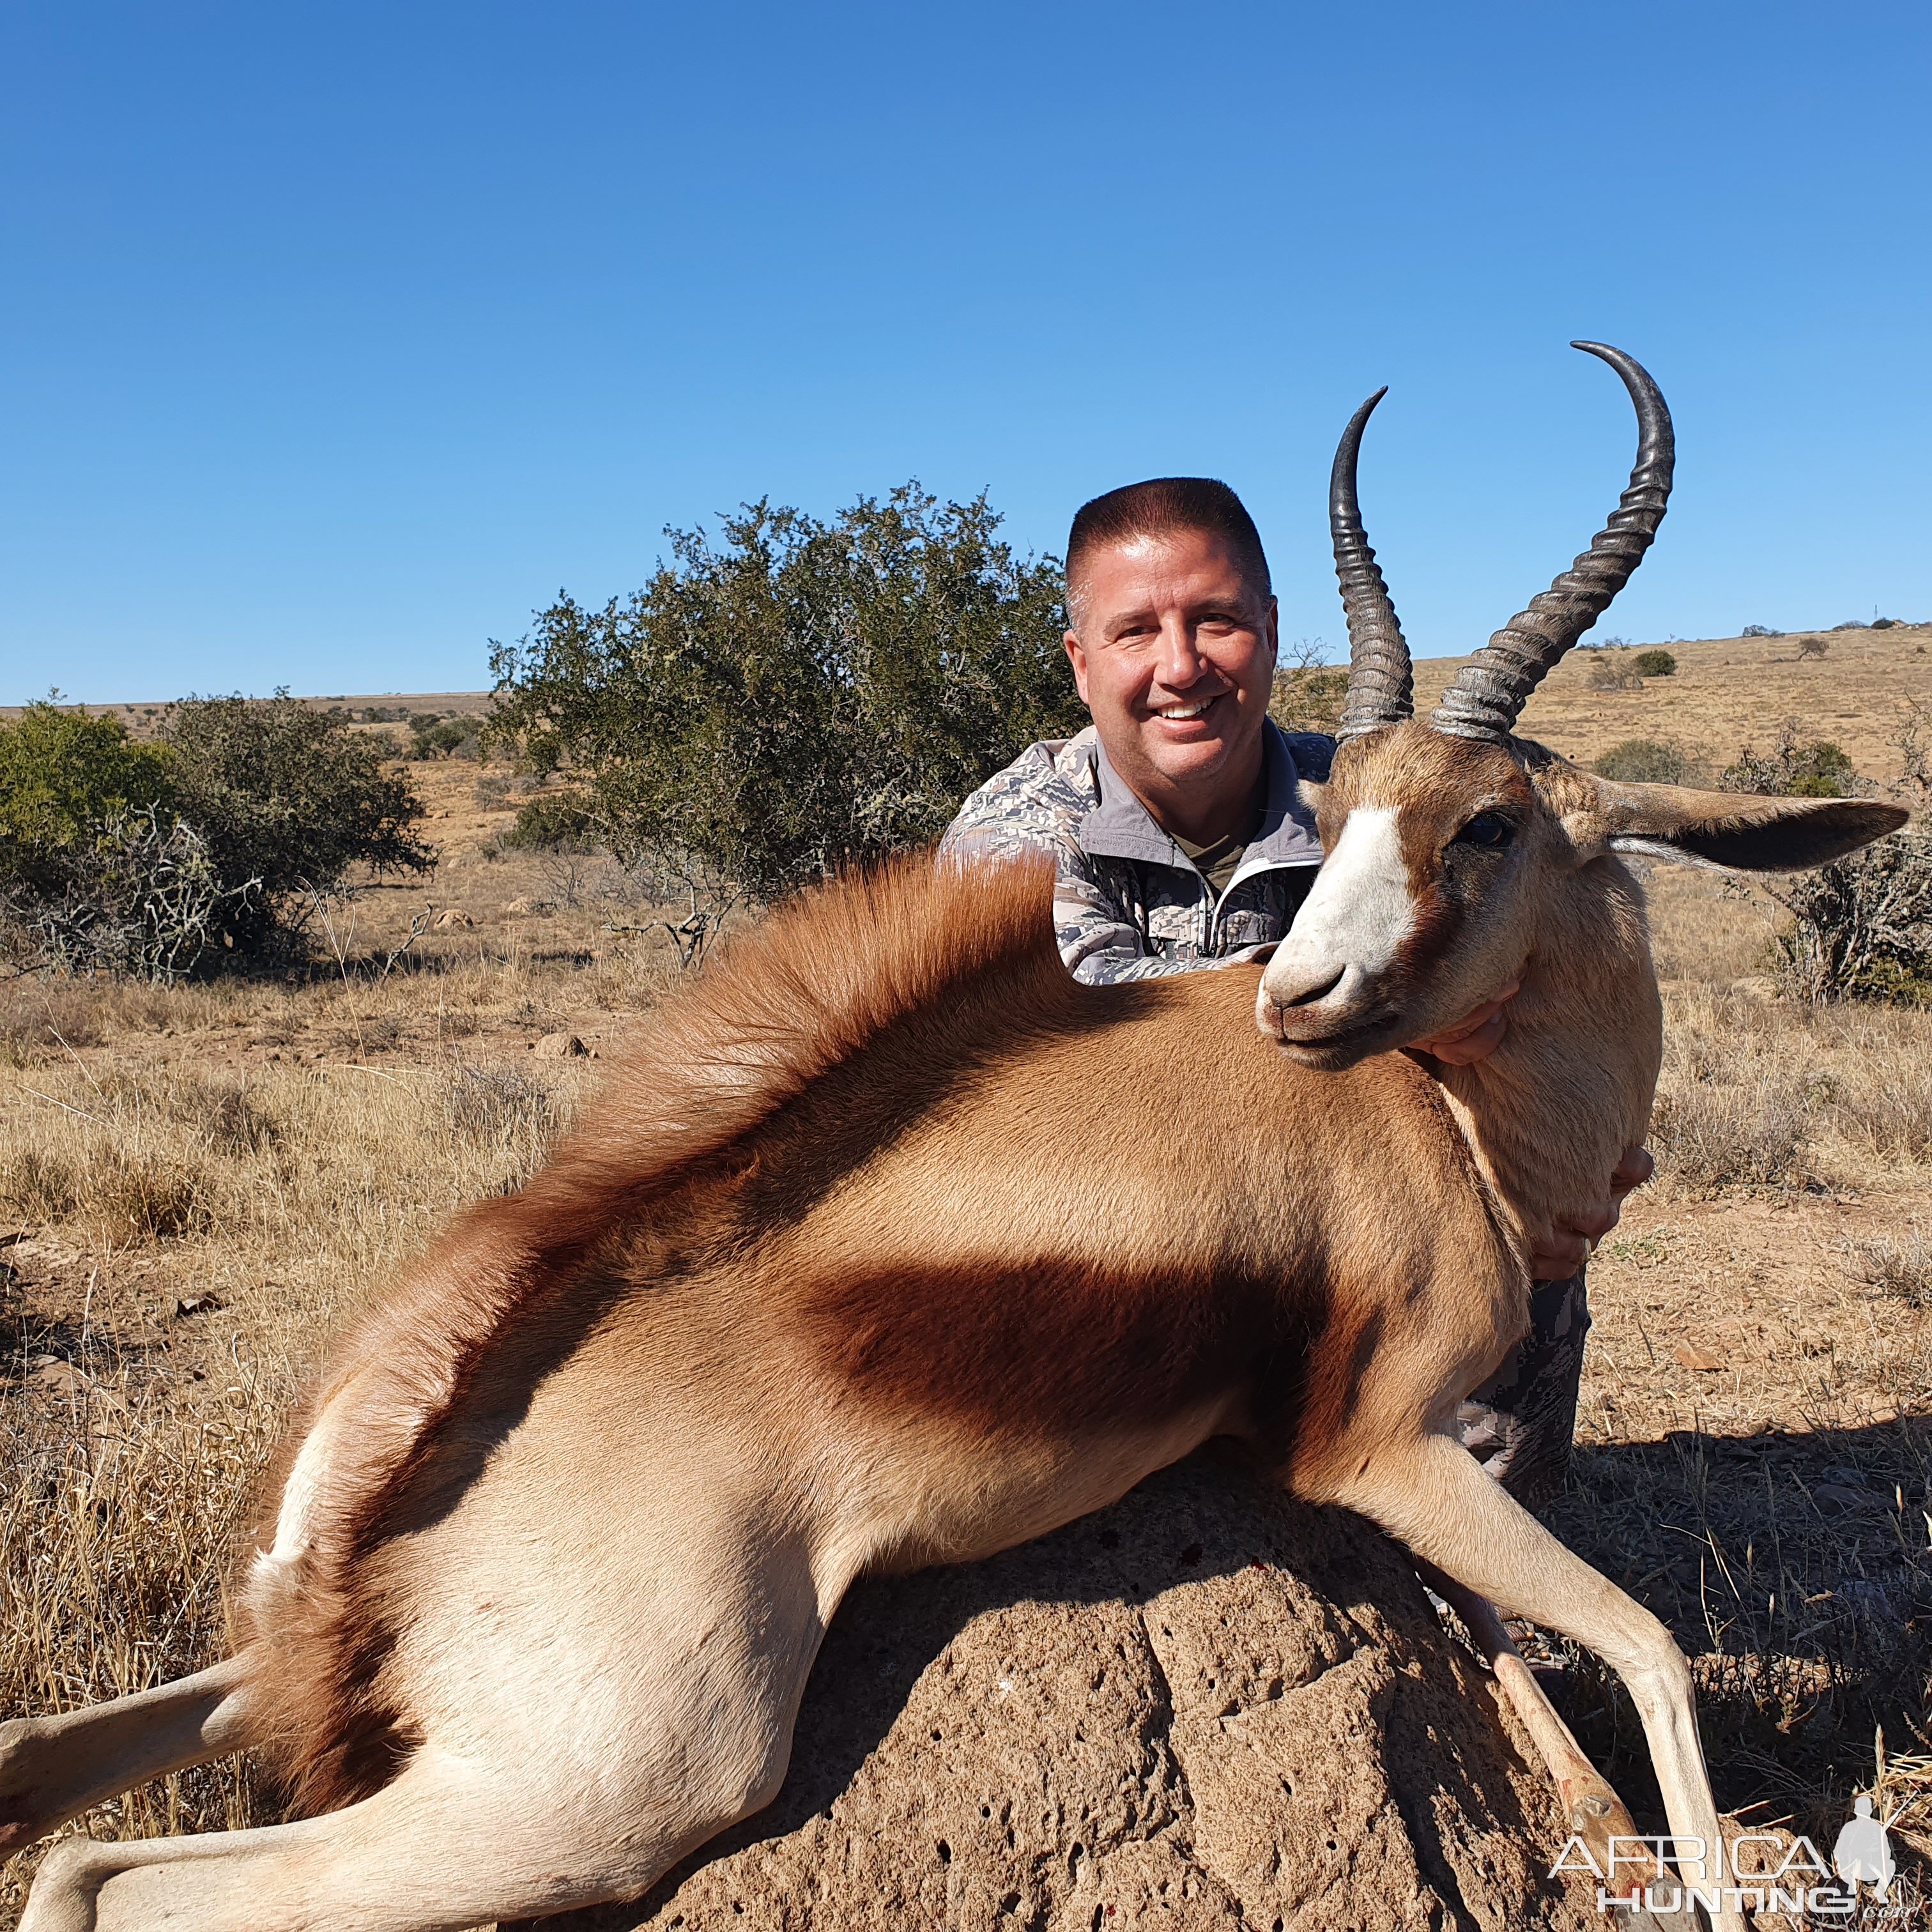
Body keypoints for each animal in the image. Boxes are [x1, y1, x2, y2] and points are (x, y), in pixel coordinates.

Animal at [0, 348, 1901, 1932]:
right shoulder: (1378, 1451)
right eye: (1348, 807)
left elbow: (1527, 1651)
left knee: (57, 1807)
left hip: (296, 1687)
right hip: (586, 1796)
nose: (1300, 996)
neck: (1443, 1109)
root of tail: (390, 1477)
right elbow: (1647, 1648)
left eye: (1485, 823)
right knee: (127, 1883)